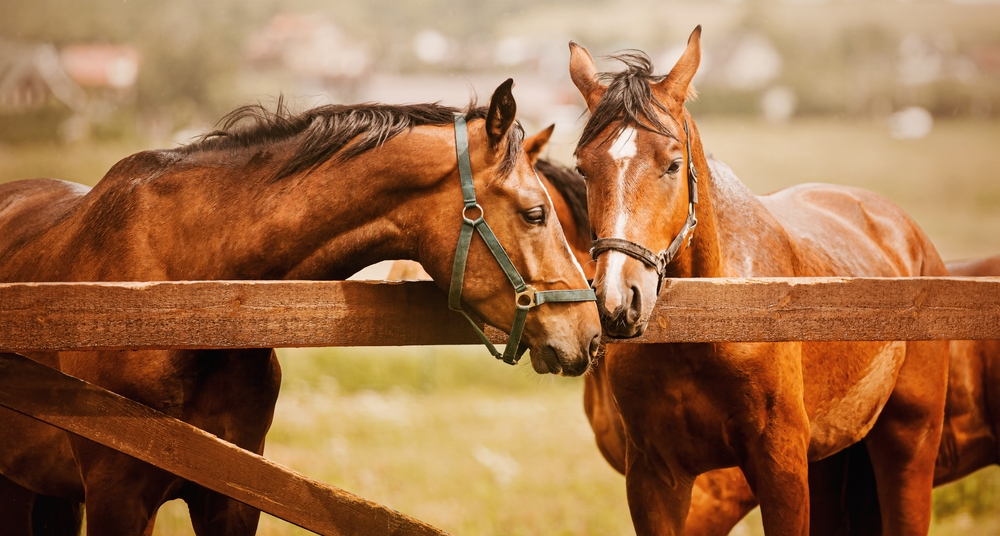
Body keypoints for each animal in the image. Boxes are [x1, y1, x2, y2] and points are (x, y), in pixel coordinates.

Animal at [572, 28, 952, 536]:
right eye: (582, 168)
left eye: (672, 164)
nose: (617, 300)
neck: (709, 324)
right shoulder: (655, 478)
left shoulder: (779, 467)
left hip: (910, 441)